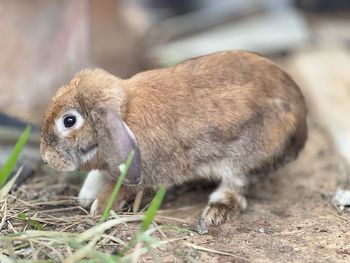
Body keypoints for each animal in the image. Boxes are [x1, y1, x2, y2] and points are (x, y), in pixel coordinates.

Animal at [40, 50, 306, 235]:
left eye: (69, 121)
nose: (45, 158)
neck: (125, 112)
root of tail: (302, 124)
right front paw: (86, 195)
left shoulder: (146, 172)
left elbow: (123, 186)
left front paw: (100, 206)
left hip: (245, 160)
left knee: (235, 189)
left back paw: (213, 212)